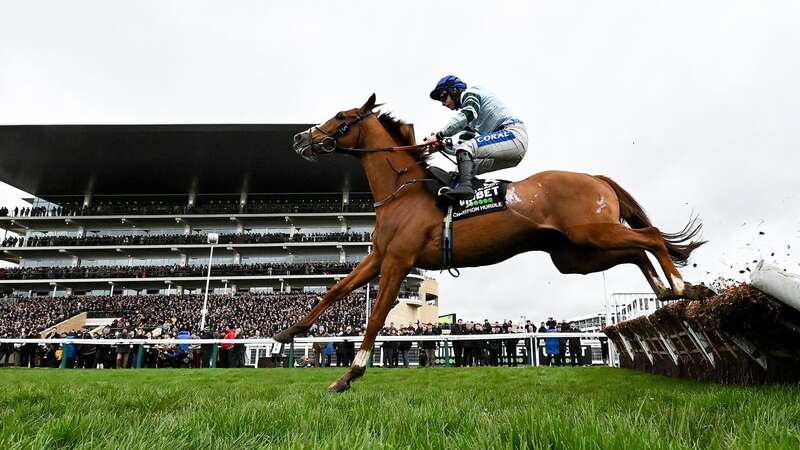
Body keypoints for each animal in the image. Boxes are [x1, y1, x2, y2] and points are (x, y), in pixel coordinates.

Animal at [280, 94, 712, 390]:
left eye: (341, 117)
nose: (300, 137)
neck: (403, 192)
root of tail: (594, 177)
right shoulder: (379, 257)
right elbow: (335, 290)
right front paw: (289, 332)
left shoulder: (399, 260)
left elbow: (377, 315)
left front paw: (349, 374)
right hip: (575, 255)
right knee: (637, 250)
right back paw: (678, 290)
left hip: (589, 235)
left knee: (650, 237)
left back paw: (678, 286)